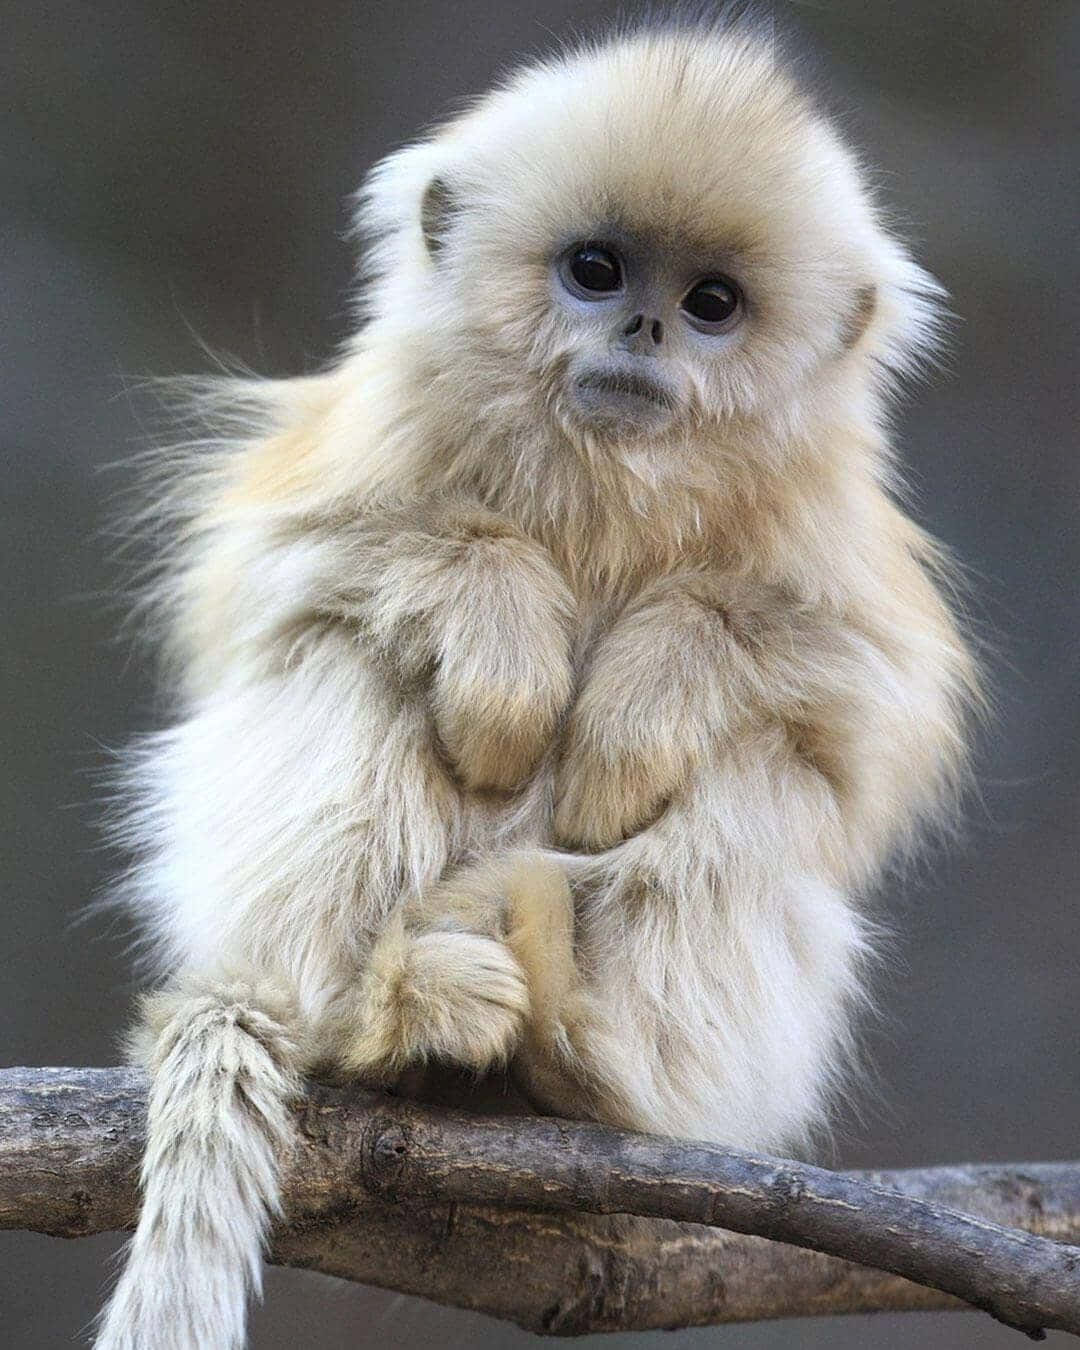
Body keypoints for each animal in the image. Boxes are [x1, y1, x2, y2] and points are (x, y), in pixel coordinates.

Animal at [94, 13, 979, 1349]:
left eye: (711, 302)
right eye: (598, 270)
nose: (646, 332)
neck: (607, 481)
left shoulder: (830, 535)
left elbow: (862, 708)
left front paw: (636, 705)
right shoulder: (370, 438)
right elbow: (272, 578)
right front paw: (505, 647)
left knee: (762, 765)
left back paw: (584, 1061)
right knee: (347, 657)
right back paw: (378, 1021)